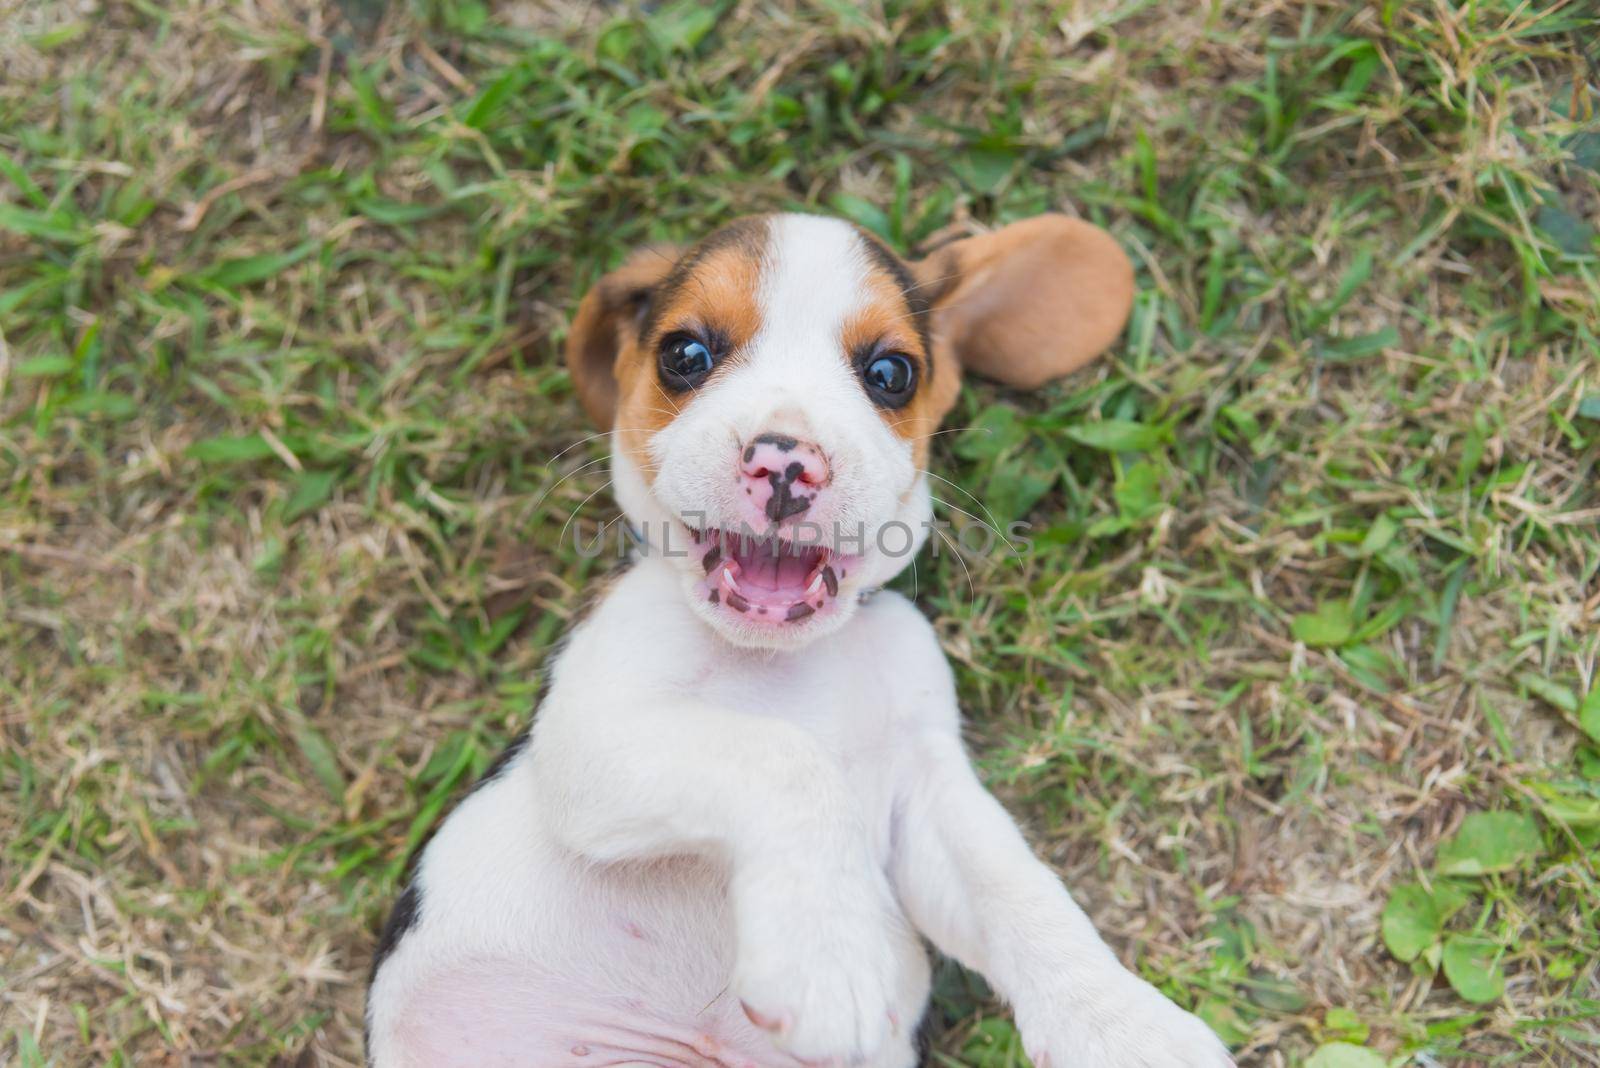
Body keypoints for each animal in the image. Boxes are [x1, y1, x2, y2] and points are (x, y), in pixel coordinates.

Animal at [366, 212, 1235, 1061]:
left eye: (891, 374)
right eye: (685, 354)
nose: (785, 464)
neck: (783, 659)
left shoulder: (929, 790)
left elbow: (1015, 885)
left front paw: (1121, 1023)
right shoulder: (592, 737)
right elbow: (784, 759)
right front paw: (829, 952)